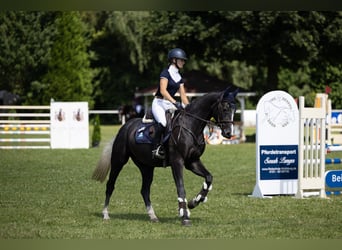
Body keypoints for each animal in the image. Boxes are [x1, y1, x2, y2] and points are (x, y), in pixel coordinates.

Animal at [92, 87, 239, 226]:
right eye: (225, 108)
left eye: (234, 109)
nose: (228, 133)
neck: (191, 125)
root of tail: (125, 126)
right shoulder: (177, 162)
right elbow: (181, 188)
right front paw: (185, 216)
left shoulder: (192, 162)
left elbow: (208, 178)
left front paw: (195, 201)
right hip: (118, 161)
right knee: (110, 185)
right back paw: (105, 214)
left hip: (146, 167)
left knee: (144, 190)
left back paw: (153, 216)